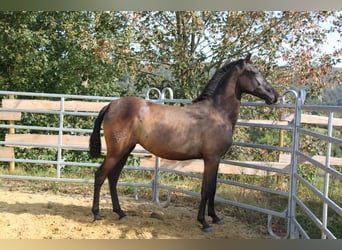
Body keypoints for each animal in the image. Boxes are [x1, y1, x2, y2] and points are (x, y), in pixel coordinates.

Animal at [88, 53, 278, 232]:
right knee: (100, 175)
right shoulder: (211, 159)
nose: (274, 96)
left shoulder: (217, 159)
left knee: (113, 177)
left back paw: (121, 213)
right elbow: (206, 189)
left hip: (125, 150)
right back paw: (96, 214)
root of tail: (111, 105)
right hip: (116, 152)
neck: (218, 112)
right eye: (253, 72)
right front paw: (204, 222)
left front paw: (215, 218)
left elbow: (213, 188)